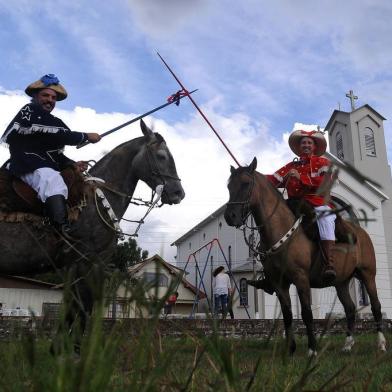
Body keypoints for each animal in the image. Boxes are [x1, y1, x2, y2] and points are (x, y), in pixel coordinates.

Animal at [224, 158, 386, 356]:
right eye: (229, 186)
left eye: (246, 183)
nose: (230, 216)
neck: (280, 230)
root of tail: (360, 232)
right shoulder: (279, 283)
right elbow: (287, 315)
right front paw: (290, 349)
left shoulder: (301, 278)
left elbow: (307, 313)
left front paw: (312, 349)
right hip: (341, 282)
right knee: (350, 308)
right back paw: (347, 344)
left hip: (367, 275)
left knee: (376, 306)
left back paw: (381, 344)